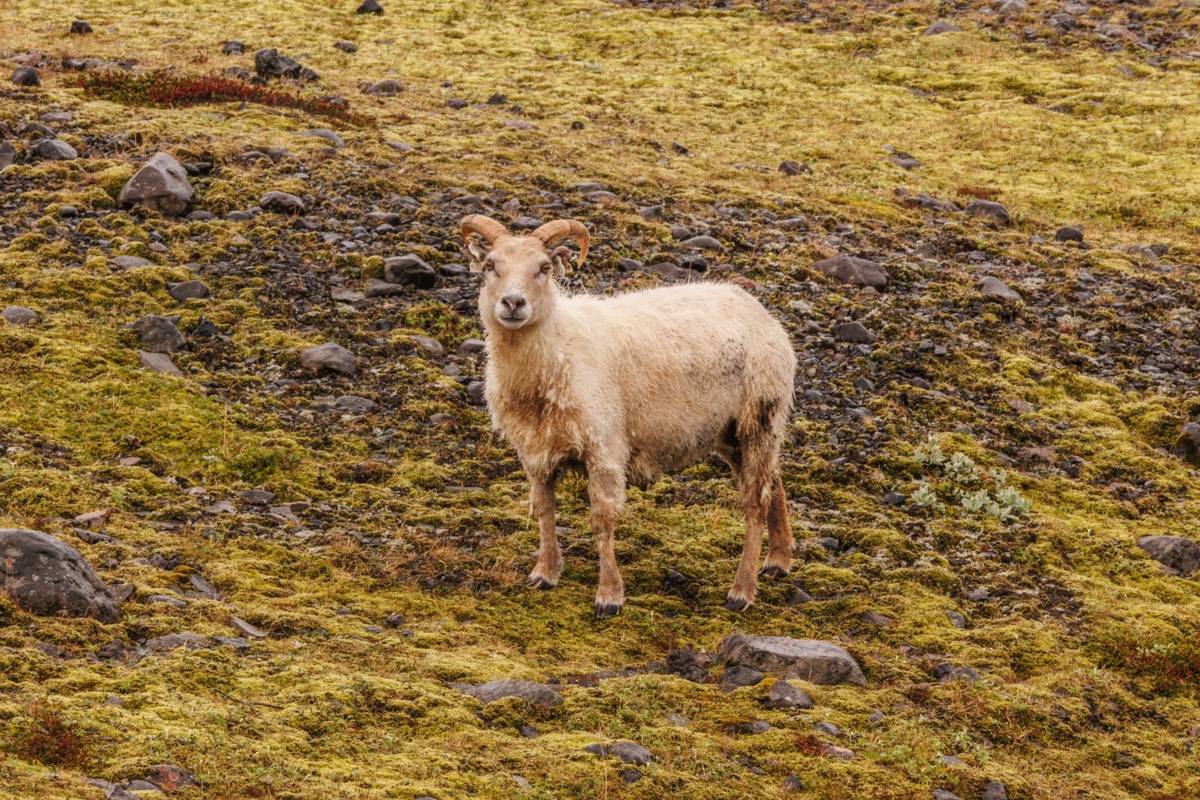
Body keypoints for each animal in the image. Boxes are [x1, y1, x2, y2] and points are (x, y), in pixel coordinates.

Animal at [461, 214, 797, 617]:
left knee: (755, 502)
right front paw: (545, 572)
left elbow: (602, 520)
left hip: (759, 416)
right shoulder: (534, 450)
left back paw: (742, 590)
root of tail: (760, 312)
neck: (557, 348)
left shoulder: (604, 447)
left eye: (543, 268)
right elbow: (544, 509)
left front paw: (609, 595)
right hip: (731, 431)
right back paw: (778, 560)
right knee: (774, 482)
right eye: (491, 266)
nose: (513, 302)